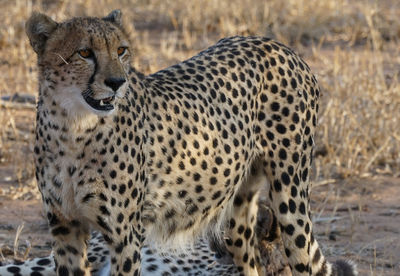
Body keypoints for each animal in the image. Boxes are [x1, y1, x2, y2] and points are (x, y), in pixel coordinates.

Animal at [21, 9, 358, 276]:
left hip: (290, 199)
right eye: (84, 53)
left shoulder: (125, 235)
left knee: (304, 259)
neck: (72, 127)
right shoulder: (65, 226)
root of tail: (277, 45)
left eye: (121, 50)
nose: (117, 82)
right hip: (236, 213)